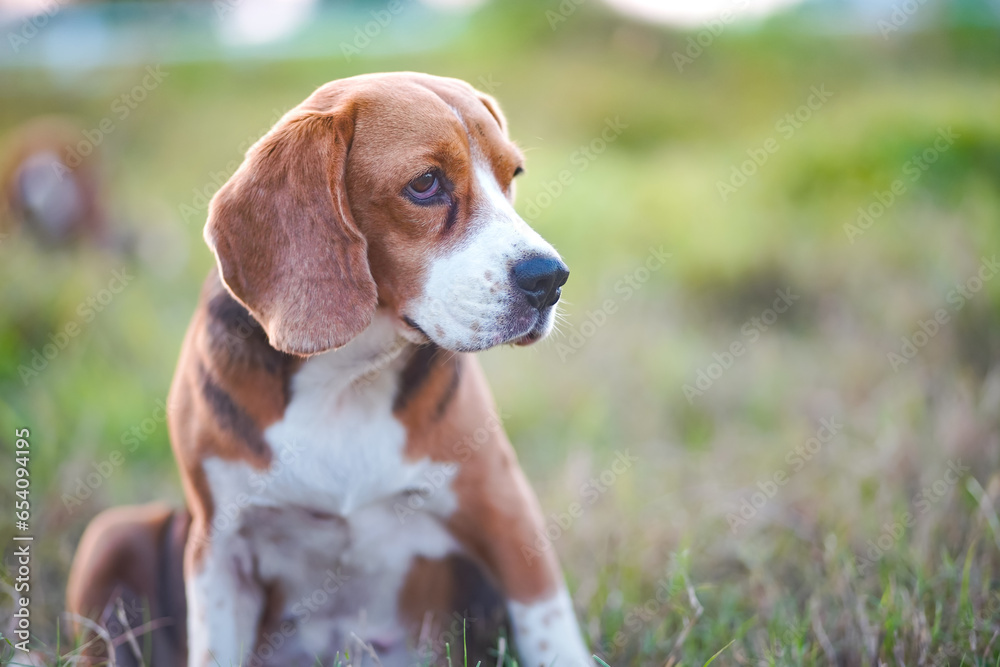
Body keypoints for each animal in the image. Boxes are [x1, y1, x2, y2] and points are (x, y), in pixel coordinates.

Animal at [68, 73, 592, 667]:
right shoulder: (218, 547)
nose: (550, 279)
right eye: (425, 183)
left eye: (513, 176)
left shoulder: (506, 512)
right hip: (110, 532)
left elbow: (552, 631)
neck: (348, 375)